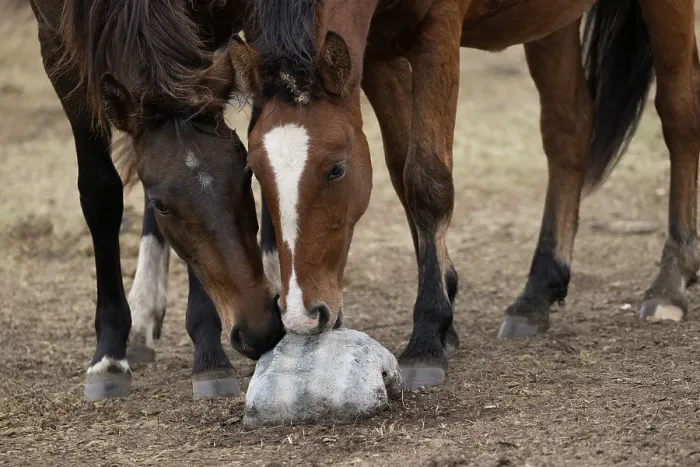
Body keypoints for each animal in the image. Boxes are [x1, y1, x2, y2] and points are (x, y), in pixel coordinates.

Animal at [22, 0, 284, 400]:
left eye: (245, 175)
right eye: (163, 205)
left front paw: (209, 356)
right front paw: (110, 353)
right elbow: (99, 193)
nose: (259, 330)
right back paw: (142, 318)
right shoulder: (59, 48)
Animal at [238, 0, 700, 390]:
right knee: (568, 128)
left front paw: (428, 336)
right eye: (255, 170)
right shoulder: (379, 52)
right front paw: (446, 310)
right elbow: (403, 169)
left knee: (679, 113)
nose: (301, 315)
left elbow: (426, 181)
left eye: (336, 169)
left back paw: (670, 281)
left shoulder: (437, 31)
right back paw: (536, 293)